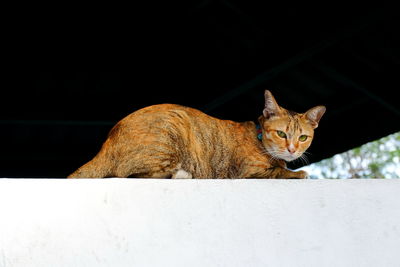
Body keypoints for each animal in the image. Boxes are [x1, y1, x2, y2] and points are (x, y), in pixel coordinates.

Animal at [68, 90, 324, 180]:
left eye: (303, 137)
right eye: (281, 133)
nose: (292, 149)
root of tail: (106, 143)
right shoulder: (247, 172)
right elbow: (280, 172)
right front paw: (299, 172)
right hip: (173, 128)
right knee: (129, 175)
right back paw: (182, 174)